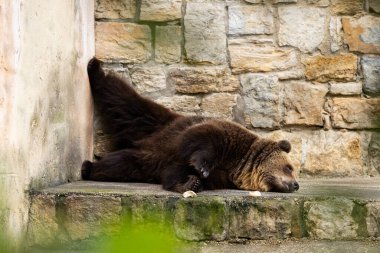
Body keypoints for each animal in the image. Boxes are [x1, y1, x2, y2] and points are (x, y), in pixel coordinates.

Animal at [81, 58, 298, 194]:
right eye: (289, 167)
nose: (296, 184)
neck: (240, 165)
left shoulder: (223, 176)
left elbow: (178, 173)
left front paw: (189, 183)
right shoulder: (227, 137)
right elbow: (204, 139)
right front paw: (200, 168)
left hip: (145, 159)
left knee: (123, 164)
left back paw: (91, 168)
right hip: (155, 121)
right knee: (123, 99)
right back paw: (94, 68)